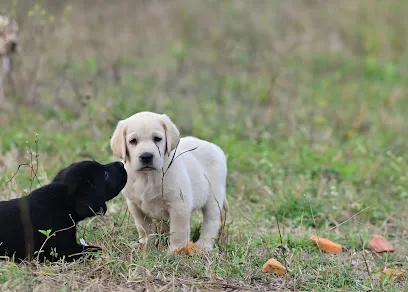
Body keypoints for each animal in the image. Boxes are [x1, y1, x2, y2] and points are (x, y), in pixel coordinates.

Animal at [110, 110, 228, 252]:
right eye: (133, 141)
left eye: (157, 139)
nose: (146, 156)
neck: (147, 177)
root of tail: (215, 147)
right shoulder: (135, 206)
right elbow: (144, 227)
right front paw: (145, 244)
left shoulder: (179, 205)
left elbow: (178, 231)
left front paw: (176, 250)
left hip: (214, 198)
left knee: (211, 222)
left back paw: (204, 245)